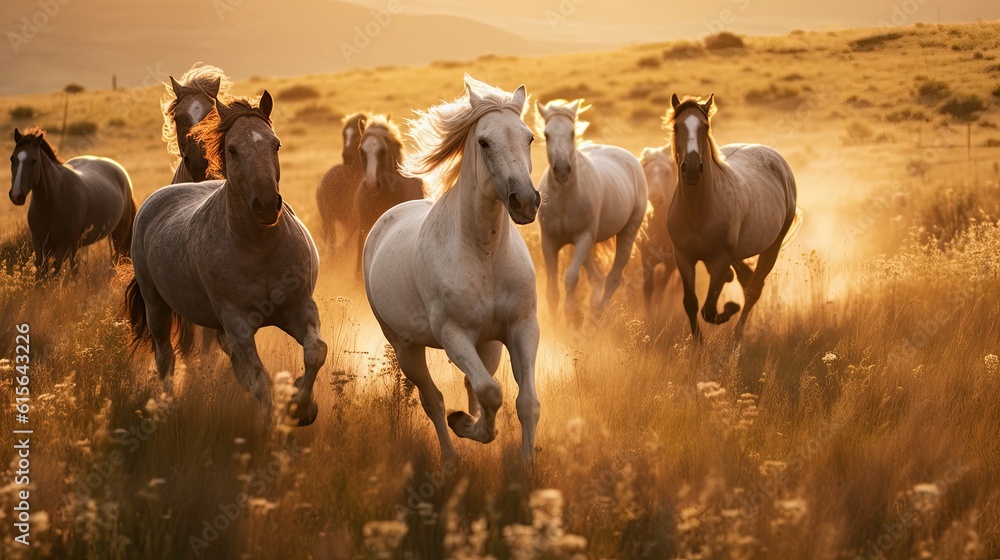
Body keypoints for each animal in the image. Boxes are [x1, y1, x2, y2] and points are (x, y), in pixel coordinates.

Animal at [8, 128, 135, 279]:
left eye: (34, 161)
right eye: (12, 159)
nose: (16, 194)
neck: (52, 200)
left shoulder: (62, 248)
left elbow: (53, 275)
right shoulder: (39, 246)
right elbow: (42, 276)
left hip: (118, 236)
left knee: (116, 259)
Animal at [126, 92, 327, 426]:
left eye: (276, 144)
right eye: (233, 149)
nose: (266, 205)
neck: (260, 248)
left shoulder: (299, 307)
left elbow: (315, 352)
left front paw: (302, 405)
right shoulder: (238, 324)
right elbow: (259, 379)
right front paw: (278, 426)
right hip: (157, 307)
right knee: (165, 357)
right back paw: (169, 409)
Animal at [363, 75, 541, 462]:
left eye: (530, 137)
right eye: (484, 142)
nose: (525, 201)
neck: (485, 255)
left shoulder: (522, 327)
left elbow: (526, 402)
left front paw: (527, 463)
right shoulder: (454, 334)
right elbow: (490, 392)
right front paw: (464, 424)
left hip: (488, 345)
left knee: (470, 384)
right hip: (405, 347)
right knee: (433, 399)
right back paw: (449, 459)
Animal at [536, 99, 648, 325]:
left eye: (572, 133)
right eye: (546, 134)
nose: (562, 171)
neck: (563, 198)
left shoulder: (583, 238)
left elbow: (570, 278)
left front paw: (572, 316)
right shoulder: (549, 241)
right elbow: (552, 290)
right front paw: (554, 324)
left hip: (627, 233)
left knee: (612, 278)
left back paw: (595, 319)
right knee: (597, 277)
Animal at [666, 94, 800, 343]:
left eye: (705, 126)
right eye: (677, 126)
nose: (692, 169)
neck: (698, 210)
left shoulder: (720, 260)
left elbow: (709, 310)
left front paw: (729, 308)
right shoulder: (684, 258)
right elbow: (691, 303)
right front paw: (697, 345)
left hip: (772, 247)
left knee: (753, 289)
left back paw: (736, 338)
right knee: (746, 279)